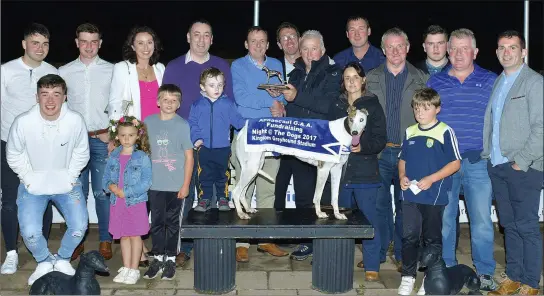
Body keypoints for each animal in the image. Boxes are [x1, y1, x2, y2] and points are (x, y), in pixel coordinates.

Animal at [232, 106, 368, 220]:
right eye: (351, 119)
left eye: (361, 119)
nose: (355, 133)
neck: (342, 133)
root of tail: (242, 130)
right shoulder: (323, 170)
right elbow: (317, 196)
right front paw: (319, 213)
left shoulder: (336, 170)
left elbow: (334, 197)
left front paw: (337, 214)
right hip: (251, 168)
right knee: (236, 192)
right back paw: (241, 214)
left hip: (254, 167)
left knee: (243, 192)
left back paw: (248, 209)